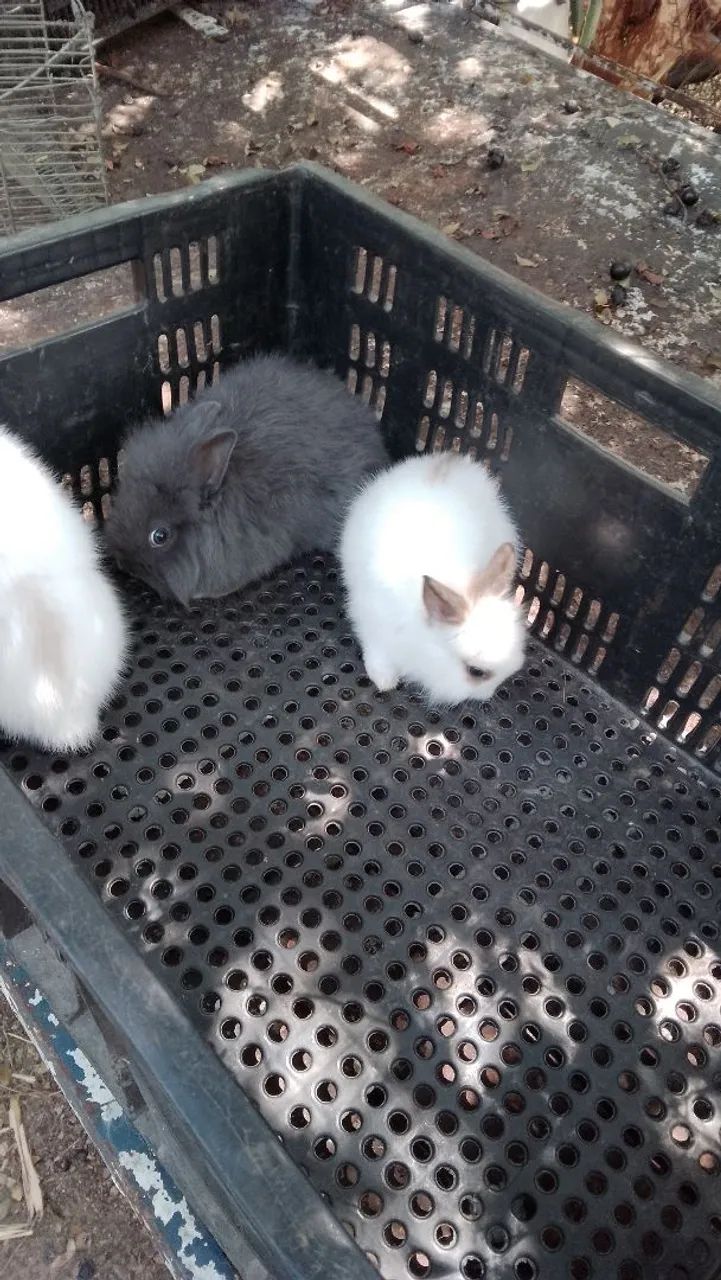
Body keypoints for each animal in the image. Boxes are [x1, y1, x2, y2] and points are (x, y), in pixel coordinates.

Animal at [340, 451, 526, 705]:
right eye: (475, 672)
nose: (490, 695)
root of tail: (448, 460)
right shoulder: (371, 625)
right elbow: (377, 655)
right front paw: (385, 682)